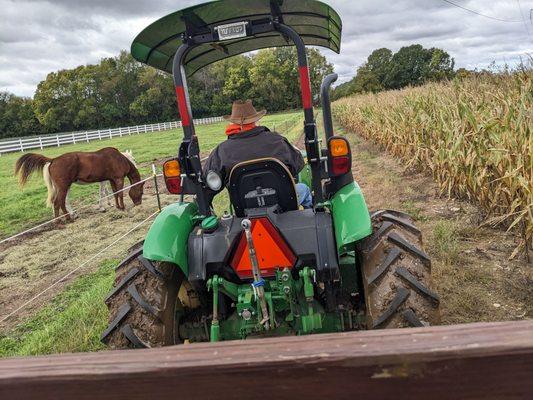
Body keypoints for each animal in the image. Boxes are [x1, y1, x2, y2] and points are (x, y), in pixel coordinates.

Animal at [15, 148, 144, 222]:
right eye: (141, 192)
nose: (138, 203)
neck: (119, 159)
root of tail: (53, 160)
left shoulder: (112, 180)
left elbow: (114, 193)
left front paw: (116, 206)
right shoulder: (118, 179)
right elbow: (118, 193)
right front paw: (120, 207)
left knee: (58, 202)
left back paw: (61, 218)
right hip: (64, 187)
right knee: (59, 202)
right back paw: (67, 218)